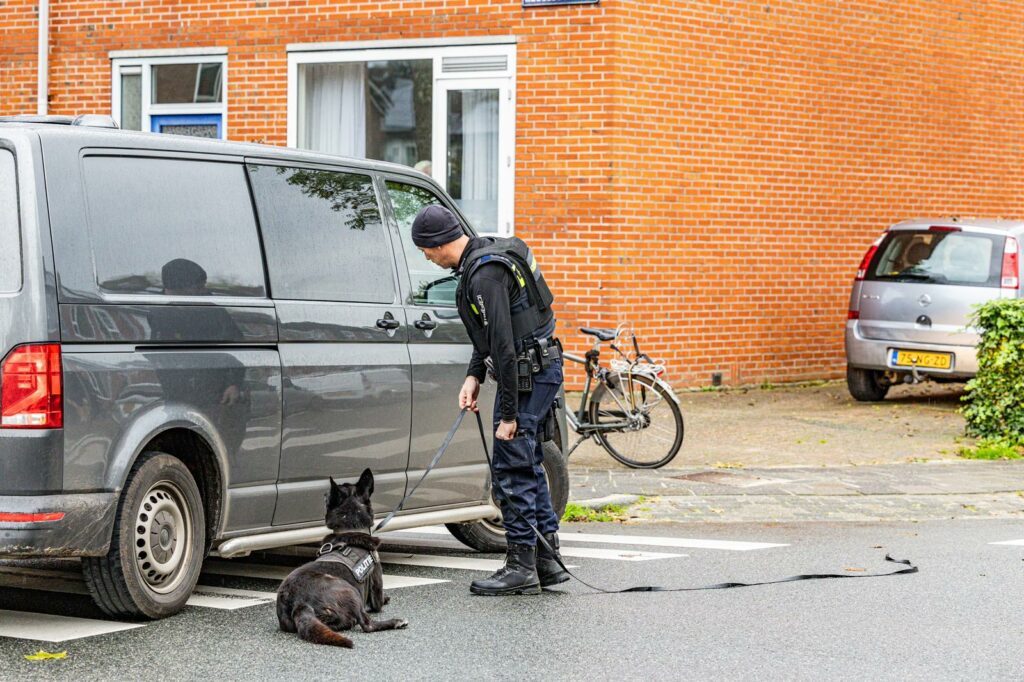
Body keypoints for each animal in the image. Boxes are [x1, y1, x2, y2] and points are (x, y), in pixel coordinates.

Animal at [280, 466, 411, 647]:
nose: (323, 494)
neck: (350, 528)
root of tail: (300, 603)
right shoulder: (376, 587)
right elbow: (378, 603)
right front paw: (386, 599)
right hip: (350, 591)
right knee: (367, 624)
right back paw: (396, 621)